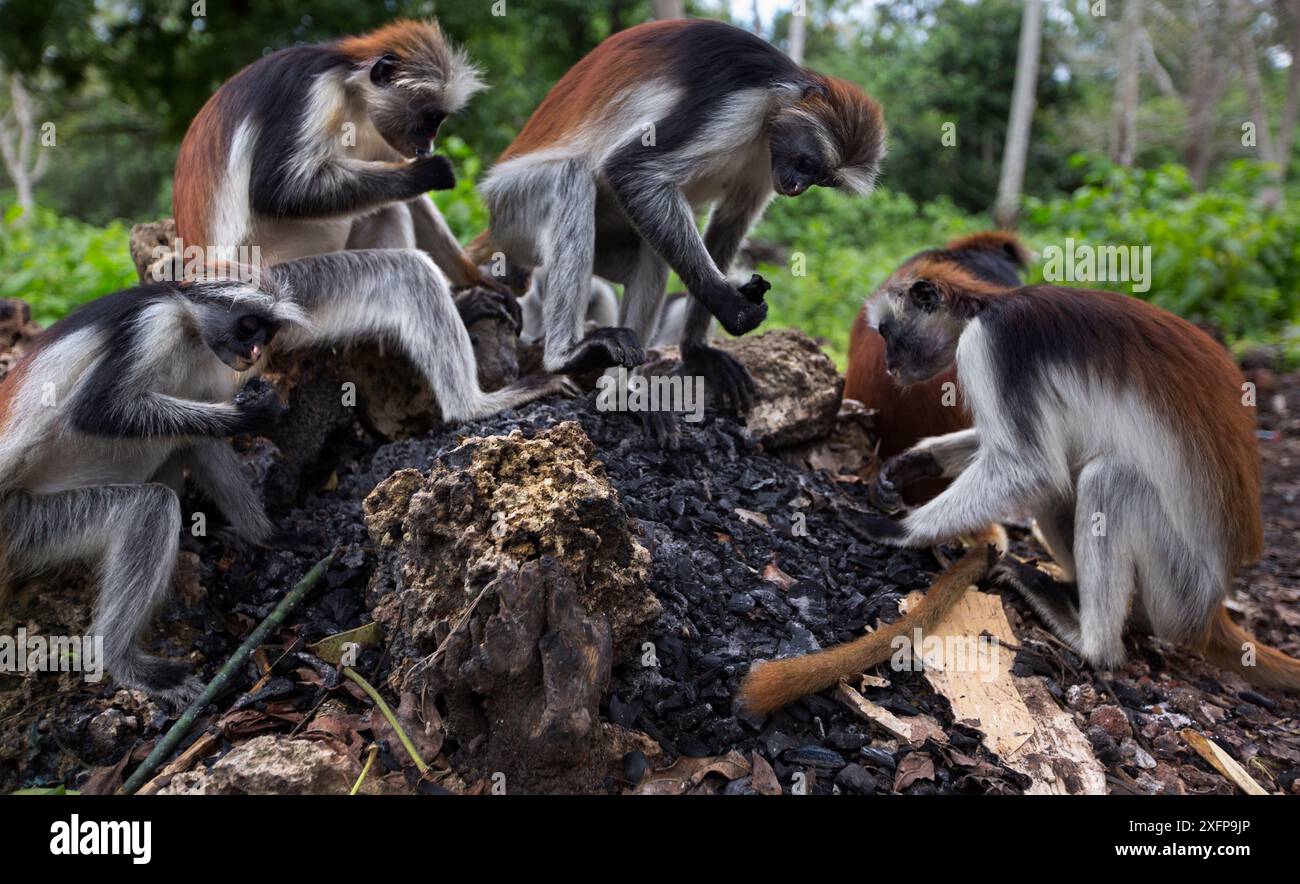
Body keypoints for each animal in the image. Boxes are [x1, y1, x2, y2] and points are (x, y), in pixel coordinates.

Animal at [0, 248, 569, 702]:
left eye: (266, 333)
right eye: (249, 326)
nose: (255, 352)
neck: (186, 322)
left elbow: (199, 424)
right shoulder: (153, 324)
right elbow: (94, 412)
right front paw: (256, 415)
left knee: (189, 436)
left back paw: (266, 537)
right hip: (23, 525)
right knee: (149, 505)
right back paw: (121, 661)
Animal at [170, 16, 499, 296]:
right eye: (431, 118)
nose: (429, 144)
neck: (350, 86)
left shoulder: (377, 126)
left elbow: (413, 199)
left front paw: (477, 280)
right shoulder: (312, 87)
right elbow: (276, 190)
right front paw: (427, 172)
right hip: (266, 259)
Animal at [478, 18, 883, 423]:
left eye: (821, 179)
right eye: (807, 164)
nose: (797, 187)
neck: (779, 100)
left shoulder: (766, 159)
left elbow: (730, 220)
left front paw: (696, 348)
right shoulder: (741, 106)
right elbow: (631, 170)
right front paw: (731, 305)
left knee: (652, 249)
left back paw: (619, 394)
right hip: (513, 208)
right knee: (572, 176)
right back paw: (568, 356)